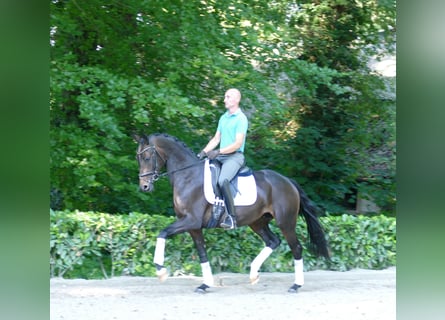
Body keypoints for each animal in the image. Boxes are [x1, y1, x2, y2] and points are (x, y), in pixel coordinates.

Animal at [135, 132, 330, 292]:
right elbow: (202, 253)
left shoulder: (191, 220)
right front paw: (205, 284)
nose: (144, 187)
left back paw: (296, 285)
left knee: (296, 248)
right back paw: (253, 274)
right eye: (139, 158)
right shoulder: (193, 226)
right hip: (257, 222)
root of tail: (288, 181)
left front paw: (160, 270)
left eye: (147, 157)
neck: (188, 176)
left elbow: (162, 232)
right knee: (273, 241)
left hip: (286, 222)